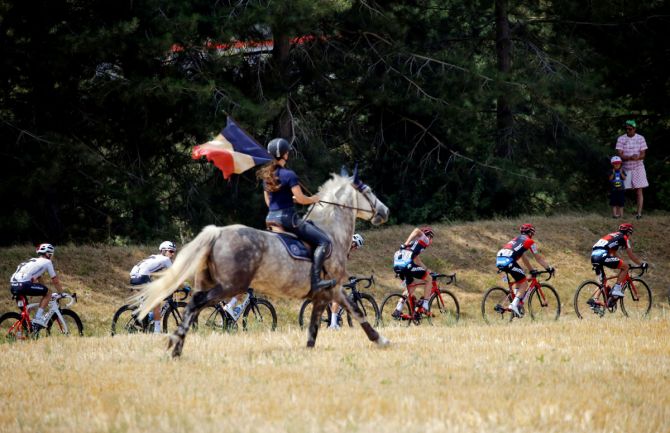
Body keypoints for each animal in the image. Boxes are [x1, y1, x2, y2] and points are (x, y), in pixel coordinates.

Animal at [135, 172, 388, 358]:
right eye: (368, 191)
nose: (385, 211)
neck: (331, 231)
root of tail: (218, 233)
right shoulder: (332, 289)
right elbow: (355, 311)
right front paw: (380, 339)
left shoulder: (324, 294)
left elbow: (317, 326)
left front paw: (309, 350)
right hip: (231, 286)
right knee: (197, 304)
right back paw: (175, 343)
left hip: (208, 282)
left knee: (191, 307)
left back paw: (176, 346)